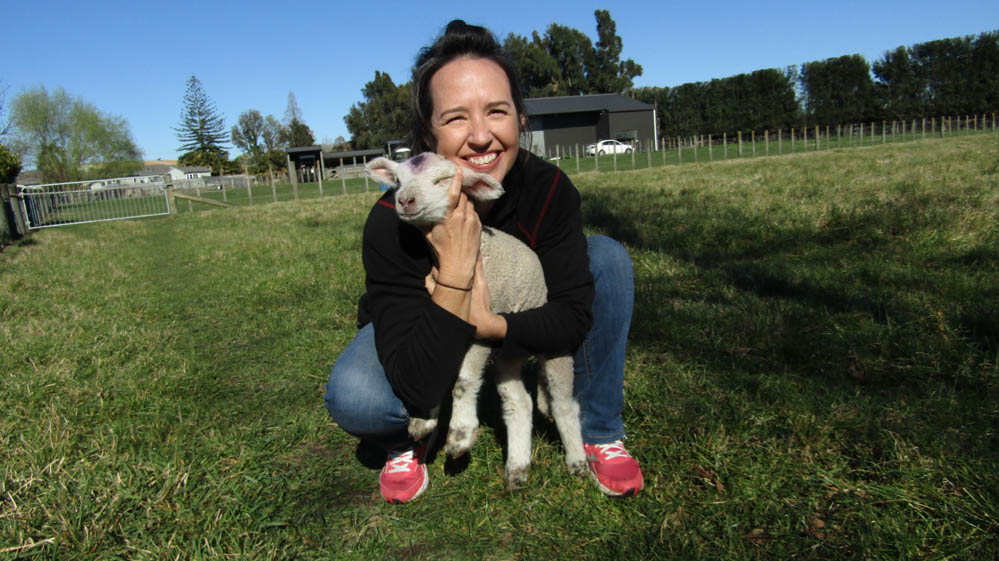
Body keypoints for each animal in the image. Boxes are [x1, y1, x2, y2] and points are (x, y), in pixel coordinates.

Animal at [366, 151, 584, 488]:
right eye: (397, 182)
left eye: (443, 179)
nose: (405, 200)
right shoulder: (445, 322)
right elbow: (434, 371)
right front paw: (423, 420)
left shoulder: (480, 326)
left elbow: (462, 382)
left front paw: (460, 435)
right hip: (508, 354)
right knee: (518, 403)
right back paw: (517, 469)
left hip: (553, 342)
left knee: (563, 403)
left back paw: (577, 461)